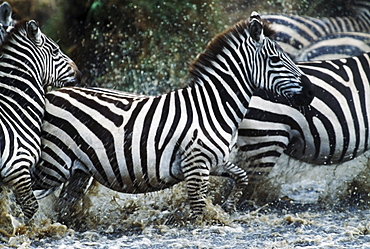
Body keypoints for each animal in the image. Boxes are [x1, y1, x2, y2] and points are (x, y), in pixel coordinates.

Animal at [31, 12, 314, 222]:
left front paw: (228, 208)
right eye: (276, 59)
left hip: (78, 171)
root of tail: (49, 94)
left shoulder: (212, 161)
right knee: (28, 192)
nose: (311, 91)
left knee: (62, 203)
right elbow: (198, 207)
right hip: (53, 164)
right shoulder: (196, 163)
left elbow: (241, 178)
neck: (212, 107)